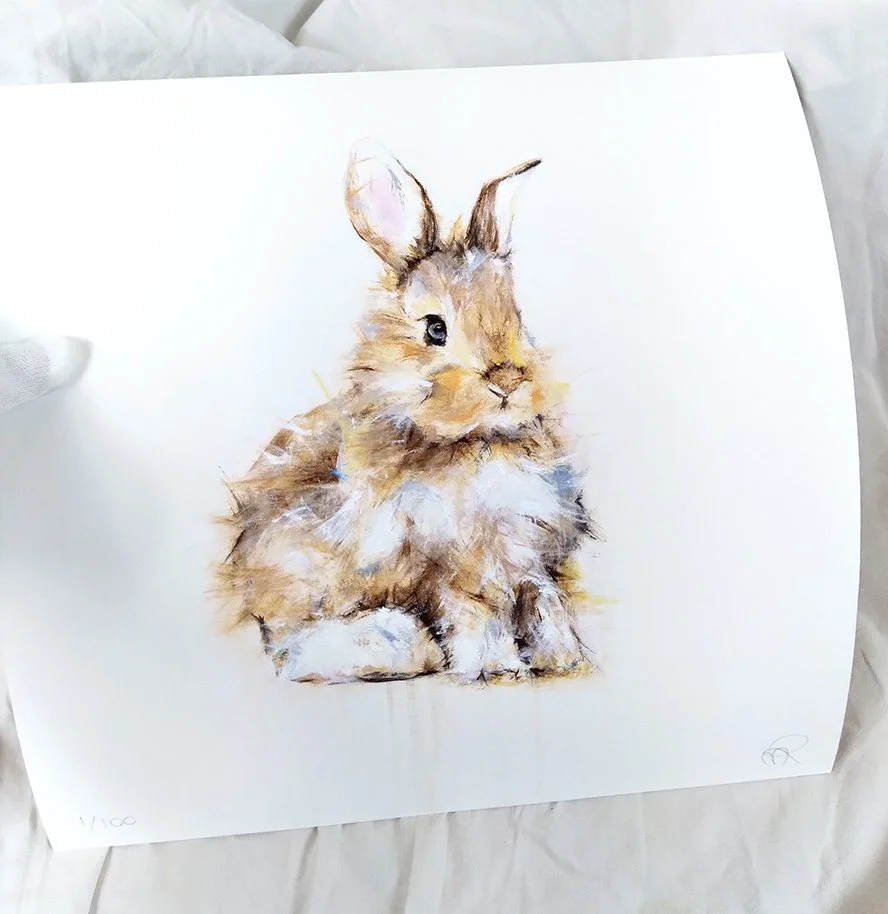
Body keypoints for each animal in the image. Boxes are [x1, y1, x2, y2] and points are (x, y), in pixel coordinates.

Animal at [215, 140, 597, 683]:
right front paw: (497, 669)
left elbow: (545, 602)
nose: (506, 381)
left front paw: (565, 660)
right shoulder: (449, 564)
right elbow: (477, 612)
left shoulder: (526, 555)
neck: (473, 443)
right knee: (297, 651)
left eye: (518, 317)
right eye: (435, 328)